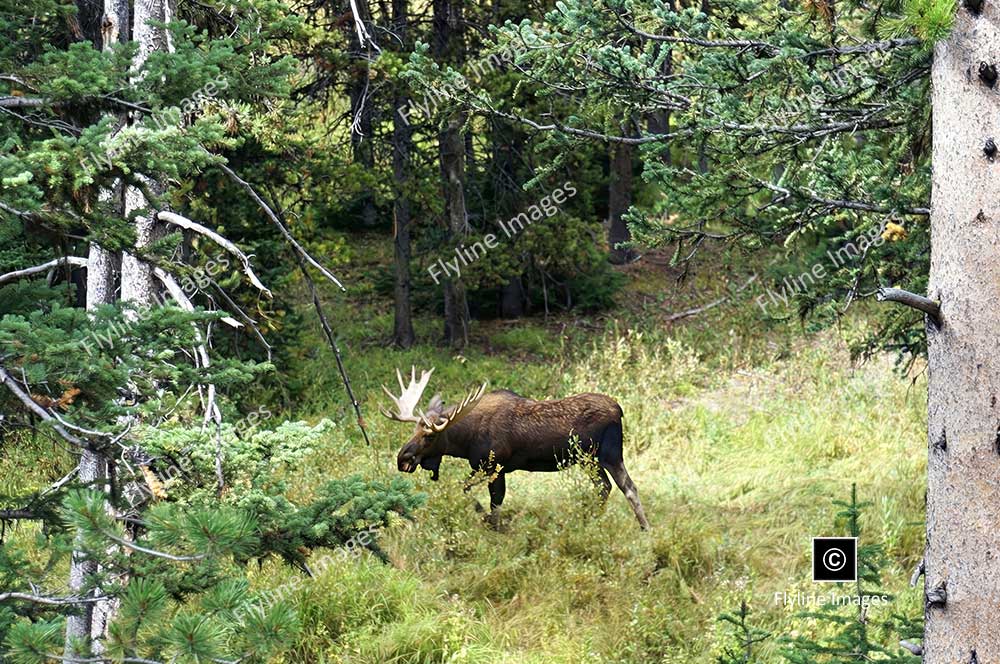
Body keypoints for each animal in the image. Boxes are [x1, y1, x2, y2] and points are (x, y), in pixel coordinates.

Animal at [380, 367, 650, 530]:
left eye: (428, 437)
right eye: (413, 430)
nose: (402, 458)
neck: (465, 440)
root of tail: (619, 410)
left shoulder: (495, 466)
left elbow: (493, 502)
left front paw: (491, 523)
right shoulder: (484, 467)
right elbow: (465, 489)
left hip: (607, 455)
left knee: (627, 487)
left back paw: (642, 527)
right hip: (590, 460)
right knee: (606, 487)